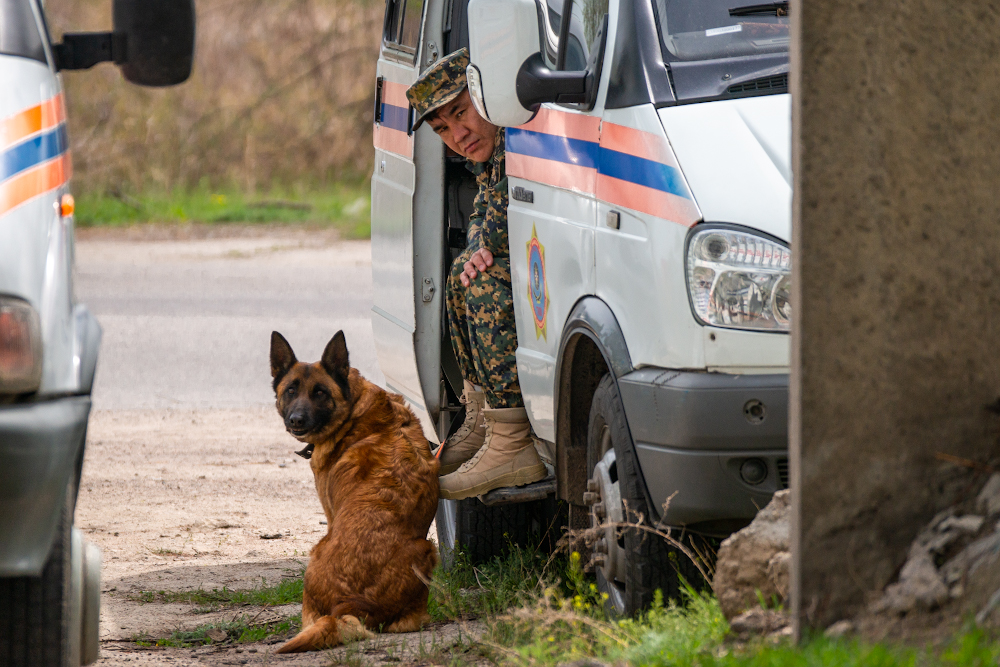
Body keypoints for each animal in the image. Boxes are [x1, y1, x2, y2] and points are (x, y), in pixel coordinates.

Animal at [270, 332, 438, 656]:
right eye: (290, 390)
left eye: (320, 392)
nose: (296, 420)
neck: (353, 409)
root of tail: (349, 605)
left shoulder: (330, 512)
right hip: (425, 548)